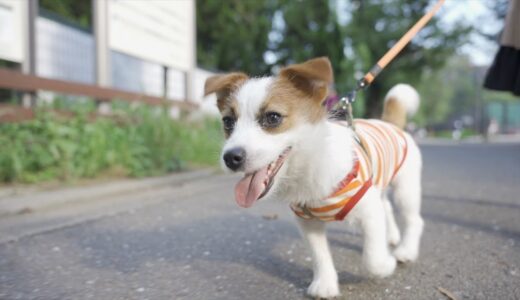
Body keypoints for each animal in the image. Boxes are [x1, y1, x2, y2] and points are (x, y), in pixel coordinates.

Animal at [203, 57, 422, 298]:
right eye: (228, 122)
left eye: (273, 117)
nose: (231, 158)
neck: (310, 165)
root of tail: (389, 123)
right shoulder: (308, 223)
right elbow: (320, 255)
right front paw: (325, 283)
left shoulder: (368, 208)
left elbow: (372, 259)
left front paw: (385, 264)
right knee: (387, 207)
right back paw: (392, 236)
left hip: (405, 189)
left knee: (413, 220)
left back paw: (405, 250)